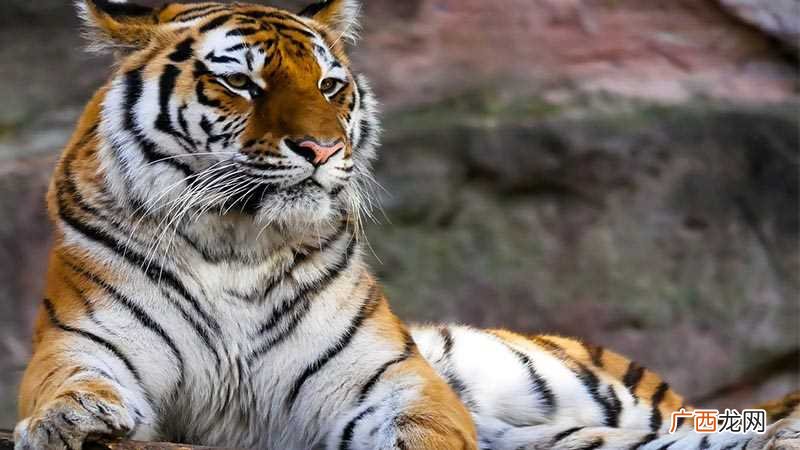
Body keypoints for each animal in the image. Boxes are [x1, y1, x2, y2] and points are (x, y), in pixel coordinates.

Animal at [12, 1, 799, 449]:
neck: (235, 244)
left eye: (330, 85)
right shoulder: (80, 341)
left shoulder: (389, 377)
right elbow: (68, 382)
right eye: (240, 82)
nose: (323, 149)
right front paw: (69, 422)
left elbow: (426, 425)